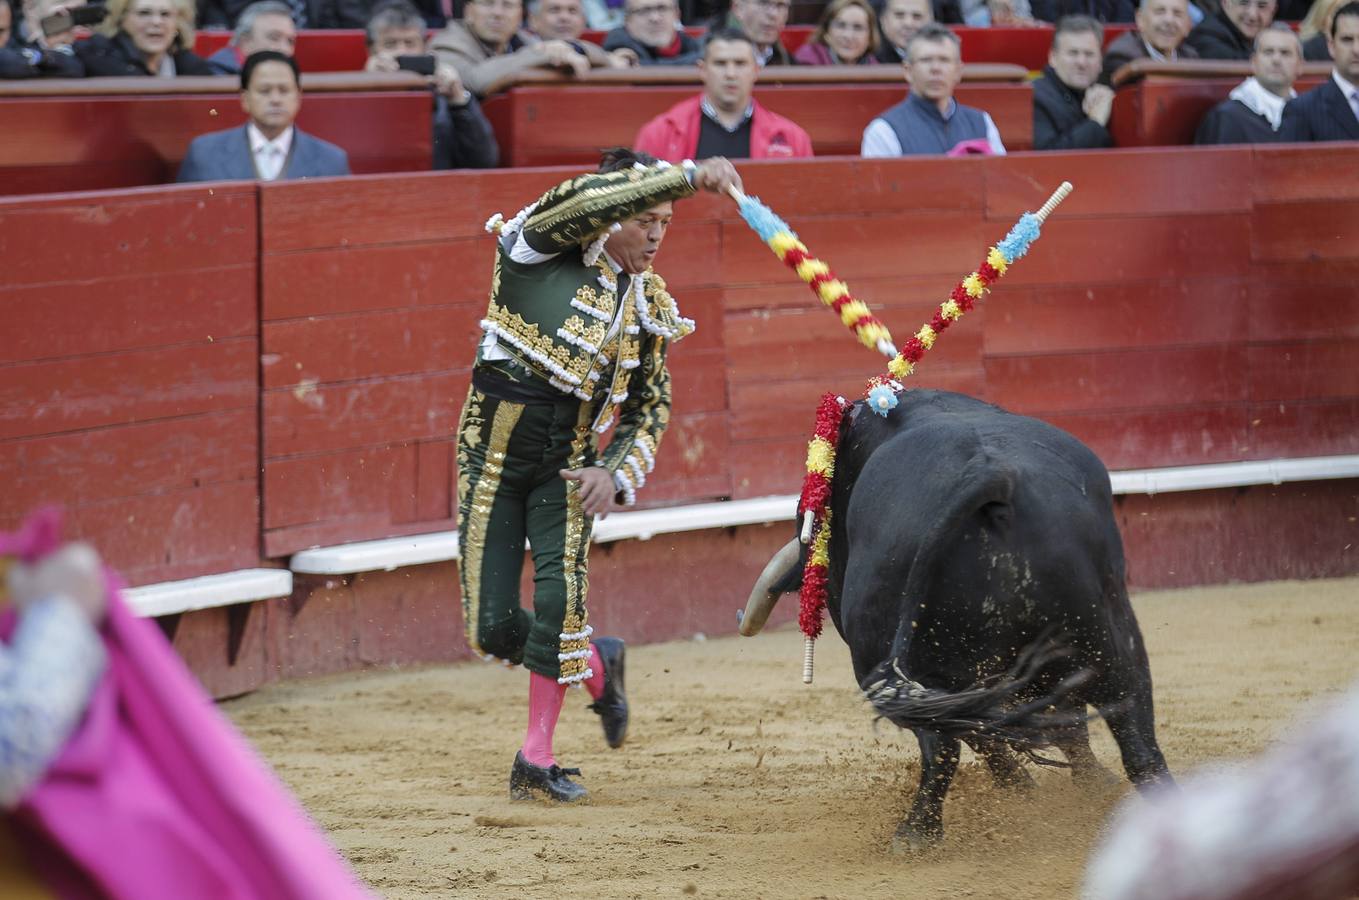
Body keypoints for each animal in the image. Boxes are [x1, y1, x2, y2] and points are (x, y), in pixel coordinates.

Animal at [739, 394, 1174, 853]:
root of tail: (991, 477)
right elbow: (1068, 725)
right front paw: (1086, 783)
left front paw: (1022, 787)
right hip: (1109, 636)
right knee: (1137, 738)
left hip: (907, 660)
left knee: (944, 744)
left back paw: (916, 833)